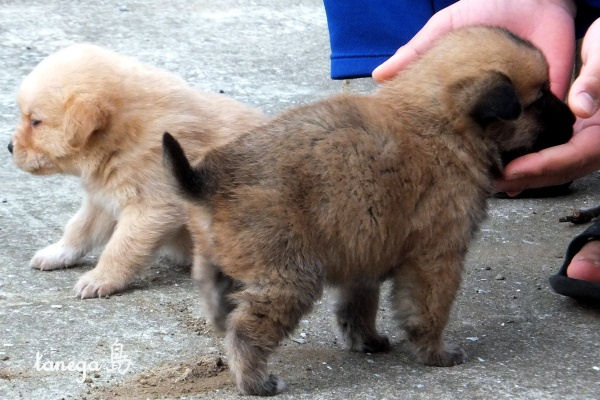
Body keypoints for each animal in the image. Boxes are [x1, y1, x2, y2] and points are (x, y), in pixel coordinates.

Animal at [7, 43, 268, 299]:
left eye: (36, 122)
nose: (9, 148)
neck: (121, 137)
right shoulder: (102, 198)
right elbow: (79, 229)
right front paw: (57, 253)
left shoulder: (152, 208)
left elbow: (121, 247)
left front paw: (100, 279)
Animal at [163, 26, 574, 395]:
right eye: (541, 98)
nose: (573, 119)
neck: (440, 122)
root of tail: (208, 180)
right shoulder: (436, 258)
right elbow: (428, 311)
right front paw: (436, 353)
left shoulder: (363, 257)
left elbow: (357, 308)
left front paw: (368, 341)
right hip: (289, 276)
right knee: (247, 330)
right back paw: (256, 381)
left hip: (222, 260)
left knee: (218, 301)